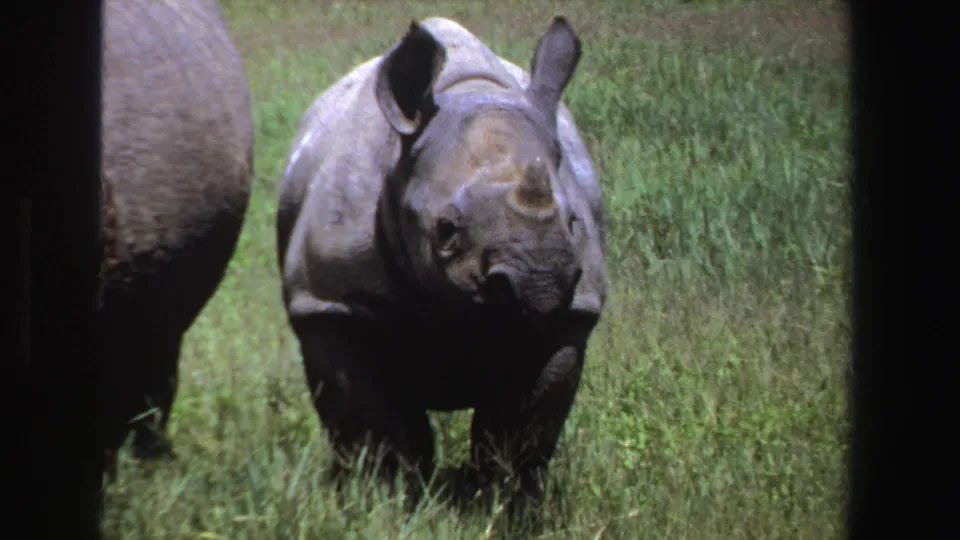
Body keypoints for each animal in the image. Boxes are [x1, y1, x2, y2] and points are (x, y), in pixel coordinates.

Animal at [277, 16, 607, 515]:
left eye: (573, 222)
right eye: (446, 229)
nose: (540, 283)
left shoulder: (571, 313)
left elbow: (522, 432)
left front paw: (505, 508)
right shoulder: (331, 303)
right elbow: (370, 423)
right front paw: (386, 504)